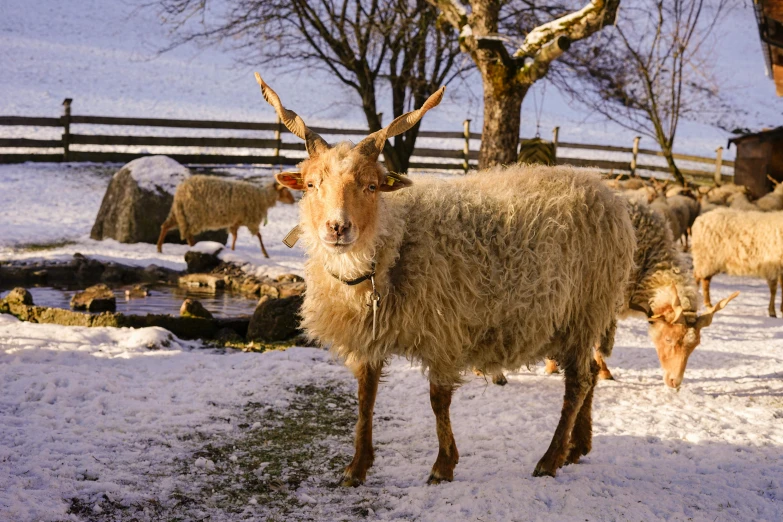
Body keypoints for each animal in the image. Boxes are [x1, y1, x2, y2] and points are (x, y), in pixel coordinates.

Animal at [156, 175, 294, 256]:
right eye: (286, 190)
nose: (293, 201)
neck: (263, 198)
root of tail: (180, 191)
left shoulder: (237, 221)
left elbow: (235, 236)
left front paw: (232, 250)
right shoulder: (251, 220)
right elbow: (259, 236)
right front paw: (265, 254)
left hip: (180, 213)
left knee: (165, 226)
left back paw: (159, 249)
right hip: (194, 215)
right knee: (188, 234)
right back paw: (193, 247)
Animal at [258, 73, 636, 484]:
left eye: (372, 186)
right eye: (312, 185)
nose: (338, 227)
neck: (395, 243)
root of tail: (605, 192)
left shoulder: (444, 329)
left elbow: (438, 399)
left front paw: (442, 466)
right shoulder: (369, 335)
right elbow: (365, 396)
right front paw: (357, 467)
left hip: (586, 308)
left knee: (578, 382)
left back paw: (550, 459)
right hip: (576, 318)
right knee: (590, 376)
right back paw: (577, 448)